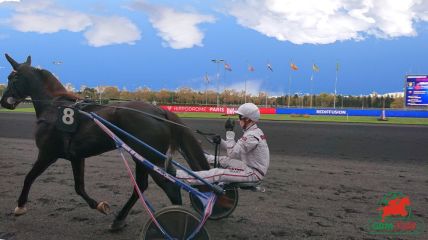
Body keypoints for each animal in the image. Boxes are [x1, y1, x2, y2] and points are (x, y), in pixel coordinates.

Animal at [0, 54, 211, 231]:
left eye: (11, 78)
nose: (4, 102)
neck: (54, 107)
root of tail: (159, 111)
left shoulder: (47, 153)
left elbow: (29, 177)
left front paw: (20, 206)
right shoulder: (76, 157)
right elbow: (79, 187)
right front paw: (100, 206)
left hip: (150, 158)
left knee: (170, 186)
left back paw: (175, 223)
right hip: (142, 157)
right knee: (142, 186)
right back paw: (119, 219)